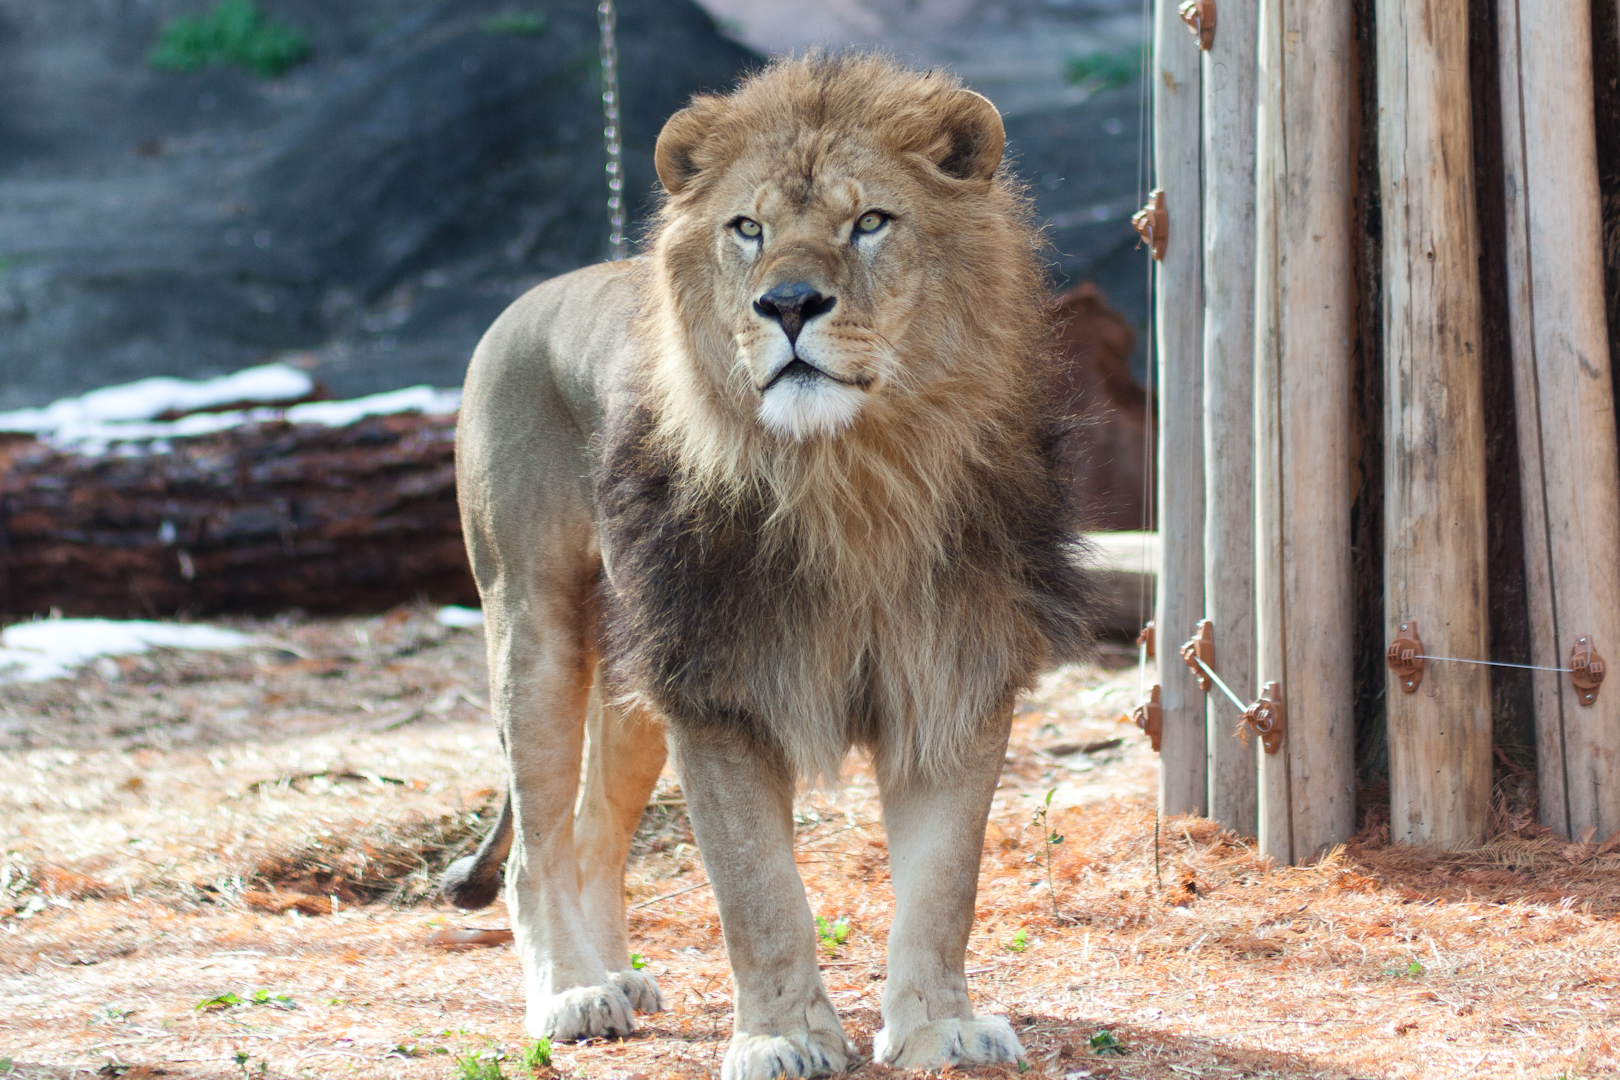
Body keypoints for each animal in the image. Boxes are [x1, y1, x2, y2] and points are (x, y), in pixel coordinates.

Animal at [437, 55, 1095, 1075]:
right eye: (747, 228)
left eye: (870, 222)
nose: (787, 305)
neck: (852, 474)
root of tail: (523, 303)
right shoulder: (716, 688)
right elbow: (758, 893)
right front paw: (783, 1037)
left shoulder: (955, 670)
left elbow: (945, 884)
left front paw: (938, 1026)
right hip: (534, 626)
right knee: (532, 848)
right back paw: (574, 994)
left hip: (631, 678)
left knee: (590, 831)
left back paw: (618, 976)